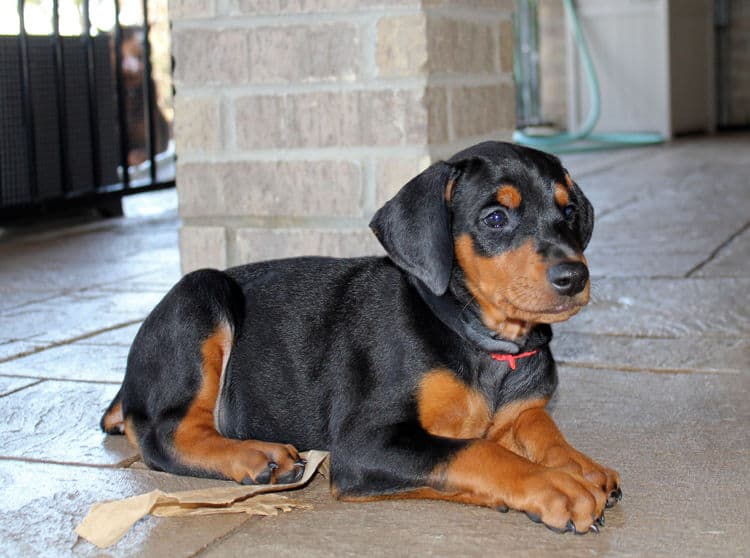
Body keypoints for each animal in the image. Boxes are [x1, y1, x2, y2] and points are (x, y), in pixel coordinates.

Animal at [104, 140, 624, 532]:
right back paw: (255, 453)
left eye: (569, 212)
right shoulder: (363, 444)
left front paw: (581, 466)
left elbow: (540, 426)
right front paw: (555, 485)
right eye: (496, 218)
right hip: (201, 294)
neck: (481, 341)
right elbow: (477, 450)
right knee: (163, 435)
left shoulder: (521, 409)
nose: (574, 276)